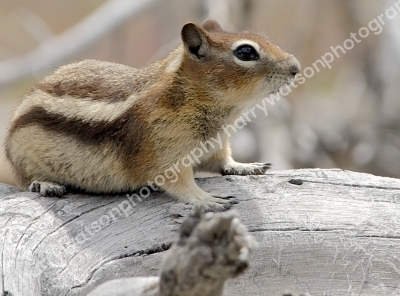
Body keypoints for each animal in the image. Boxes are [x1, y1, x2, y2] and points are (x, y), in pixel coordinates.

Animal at [4, 19, 300, 210]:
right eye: (246, 52)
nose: (296, 66)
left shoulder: (216, 144)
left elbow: (222, 162)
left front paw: (245, 166)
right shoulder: (163, 151)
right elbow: (178, 183)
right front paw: (204, 198)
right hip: (23, 157)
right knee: (26, 179)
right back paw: (45, 184)